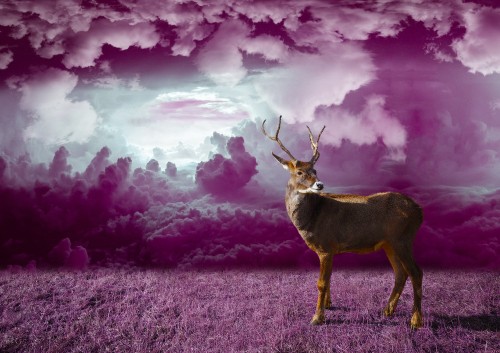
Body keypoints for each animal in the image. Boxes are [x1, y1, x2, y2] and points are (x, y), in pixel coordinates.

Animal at [262, 115, 422, 328]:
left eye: (315, 169)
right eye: (299, 172)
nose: (319, 184)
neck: (311, 217)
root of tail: (419, 211)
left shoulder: (326, 246)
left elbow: (321, 283)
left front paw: (317, 317)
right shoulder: (329, 249)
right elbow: (328, 279)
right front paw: (328, 305)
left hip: (403, 238)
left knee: (416, 272)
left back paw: (416, 320)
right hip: (390, 243)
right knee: (400, 273)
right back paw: (387, 311)